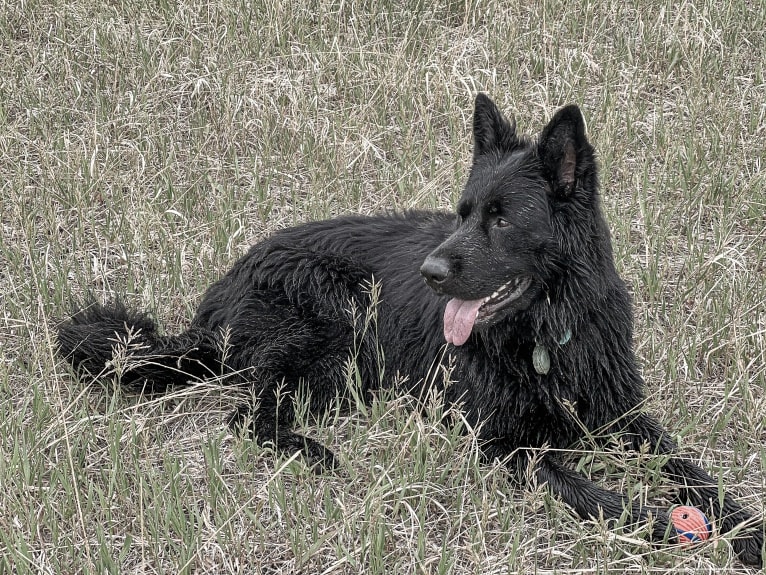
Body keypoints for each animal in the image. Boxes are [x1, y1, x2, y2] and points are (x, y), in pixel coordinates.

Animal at [57, 94, 764, 568]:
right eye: (463, 213)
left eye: (502, 221)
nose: (429, 272)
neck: (544, 335)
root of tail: (215, 302)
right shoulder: (508, 448)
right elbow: (601, 495)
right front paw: (668, 527)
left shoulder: (627, 418)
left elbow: (695, 472)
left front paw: (745, 528)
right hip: (335, 340)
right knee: (248, 414)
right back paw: (314, 452)